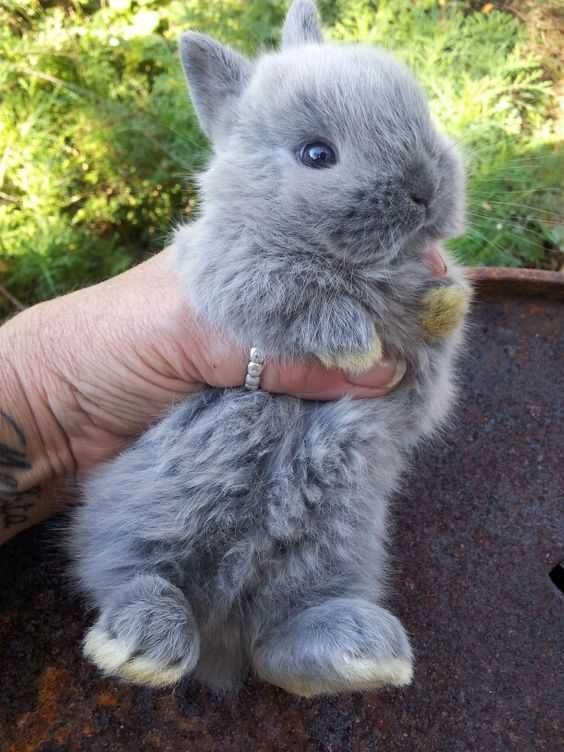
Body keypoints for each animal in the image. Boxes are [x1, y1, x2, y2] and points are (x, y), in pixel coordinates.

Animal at [70, 0, 472, 696]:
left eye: (423, 115)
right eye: (316, 153)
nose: (425, 189)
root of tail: (222, 643)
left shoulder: (415, 398)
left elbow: (430, 363)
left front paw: (443, 302)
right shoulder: (225, 271)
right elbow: (289, 289)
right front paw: (355, 342)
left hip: (330, 551)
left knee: (279, 645)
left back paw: (365, 656)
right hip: (146, 517)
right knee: (137, 580)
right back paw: (140, 647)